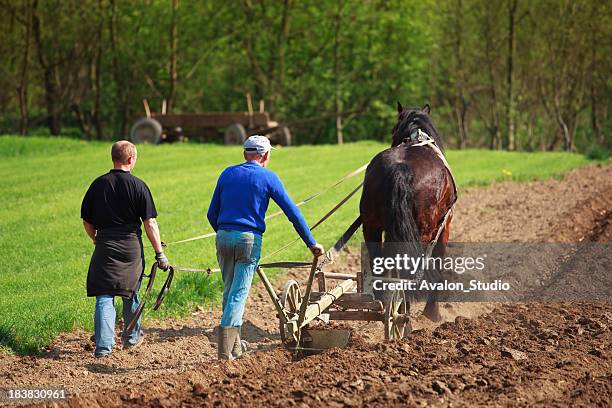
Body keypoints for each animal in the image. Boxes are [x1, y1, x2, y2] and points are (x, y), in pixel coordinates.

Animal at [360, 103, 456, 322]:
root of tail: (399, 167)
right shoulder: (444, 226)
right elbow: (439, 264)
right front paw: (433, 313)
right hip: (422, 231)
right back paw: (404, 315)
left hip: (371, 227)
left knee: (380, 263)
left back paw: (385, 307)